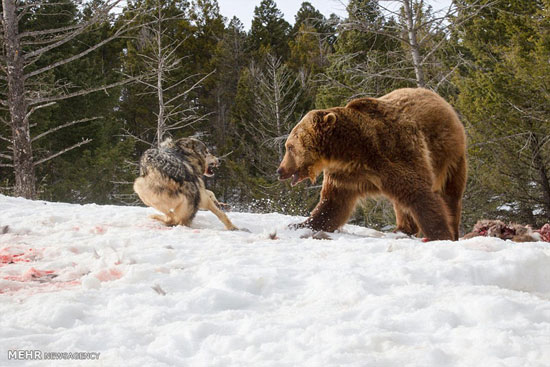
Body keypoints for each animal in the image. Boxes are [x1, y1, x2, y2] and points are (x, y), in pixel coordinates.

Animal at [278, 87, 468, 240]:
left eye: (289, 147)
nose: (280, 170)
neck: (351, 150)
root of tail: (439, 98)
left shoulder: (394, 151)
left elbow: (420, 192)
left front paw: (440, 235)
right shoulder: (345, 175)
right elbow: (332, 205)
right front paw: (299, 225)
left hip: (449, 154)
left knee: (450, 194)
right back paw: (401, 230)